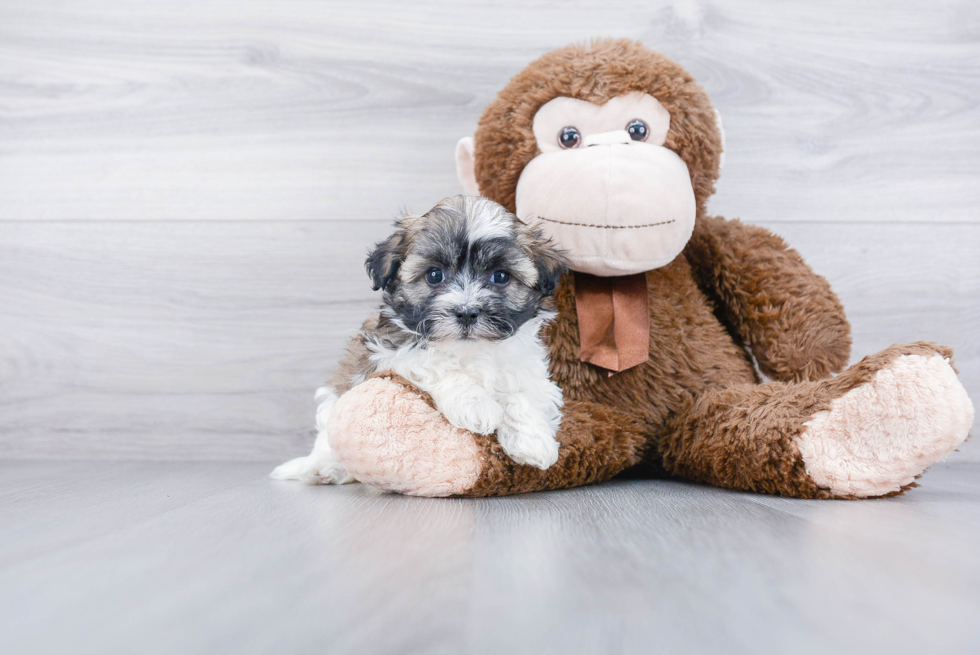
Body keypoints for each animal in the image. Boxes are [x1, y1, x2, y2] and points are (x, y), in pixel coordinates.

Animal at [272, 192, 572, 484]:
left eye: (500, 277)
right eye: (434, 275)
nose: (466, 312)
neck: (470, 351)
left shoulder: (528, 368)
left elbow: (524, 394)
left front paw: (533, 440)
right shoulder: (388, 353)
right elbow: (434, 363)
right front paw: (477, 405)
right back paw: (323, 467)